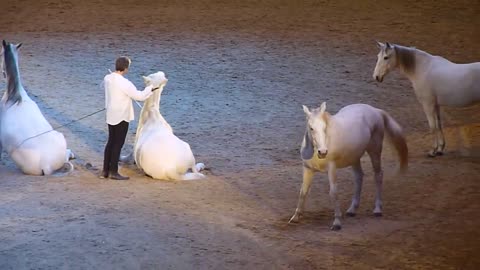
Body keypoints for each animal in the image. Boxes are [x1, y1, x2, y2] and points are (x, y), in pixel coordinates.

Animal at [288, 102, 408, 231]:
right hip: (355, 158)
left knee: (378, 175)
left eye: (325, 127)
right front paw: (295, 217)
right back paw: (352, 210)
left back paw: (377, 210)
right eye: (311, 128)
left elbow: (333, 193)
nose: (323, 152)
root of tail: (375, 110)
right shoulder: (308, 170)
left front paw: (337, 223)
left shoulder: (332, 169)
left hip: (375, 151)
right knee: (359, 177)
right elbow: (303, 192)